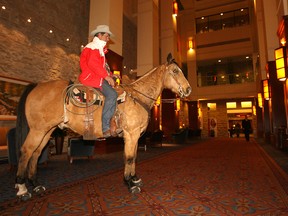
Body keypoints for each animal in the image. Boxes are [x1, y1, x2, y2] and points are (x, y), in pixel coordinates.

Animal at [14, 53, 192, 200]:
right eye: (175, 71)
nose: (188, 89)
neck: (137, 97)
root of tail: (36, 86)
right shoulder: (131, 134)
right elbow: (129, 157)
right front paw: (130, 184)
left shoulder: (133, 137)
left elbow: (133, 156)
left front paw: (134, 179)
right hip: (38, 130)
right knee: (26, 151)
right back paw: (22, 189)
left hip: (47, 131)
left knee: (36, 154)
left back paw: (36, 185)